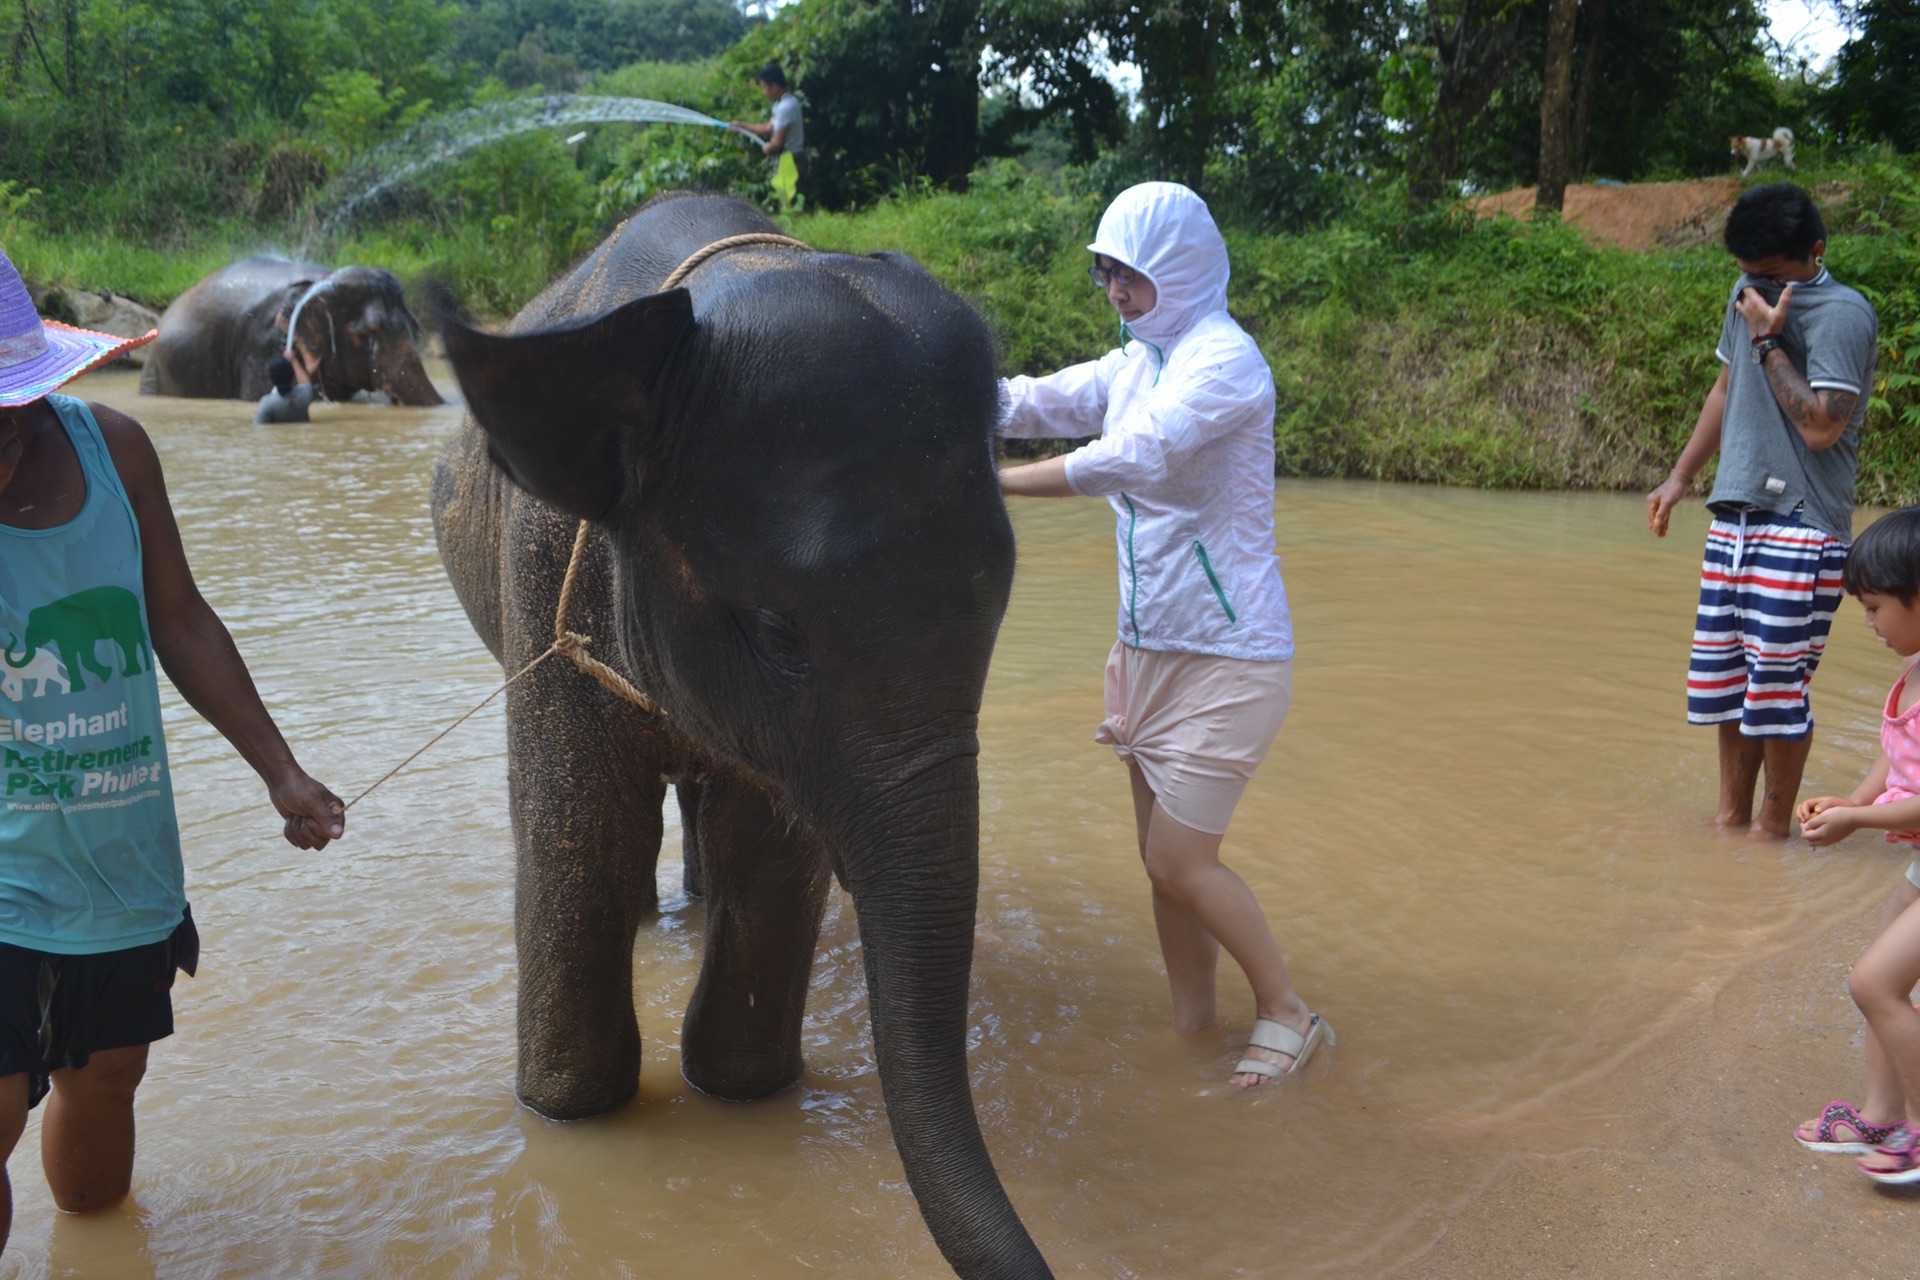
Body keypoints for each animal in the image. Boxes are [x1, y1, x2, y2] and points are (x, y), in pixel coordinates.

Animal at [432, 192, 1052, 1280]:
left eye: (996, 609)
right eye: (772, 628)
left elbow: (767, 846)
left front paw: (742, 1084)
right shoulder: (541, 564)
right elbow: (585, 838)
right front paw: (567, 1110)